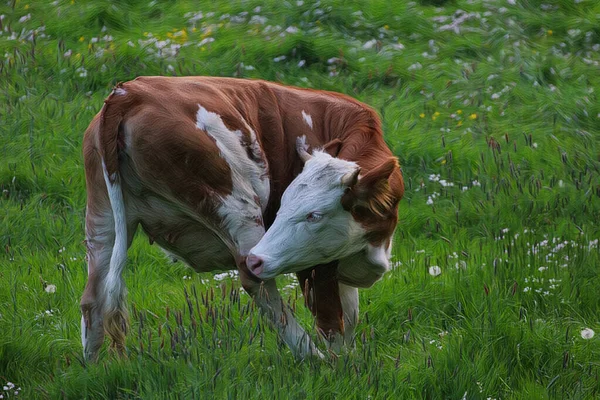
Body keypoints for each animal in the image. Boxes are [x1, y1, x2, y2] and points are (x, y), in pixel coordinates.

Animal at [79, 76, 406, 360]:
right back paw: (312, 357)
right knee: (257, 284)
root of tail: (130, 92)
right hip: (237, 207)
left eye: (313, 215)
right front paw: (342, 368)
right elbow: (332, 322)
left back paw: (93, 371)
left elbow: (349, 317)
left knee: (93, 299)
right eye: (289, 206)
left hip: (103, 221)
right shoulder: (317, 264)